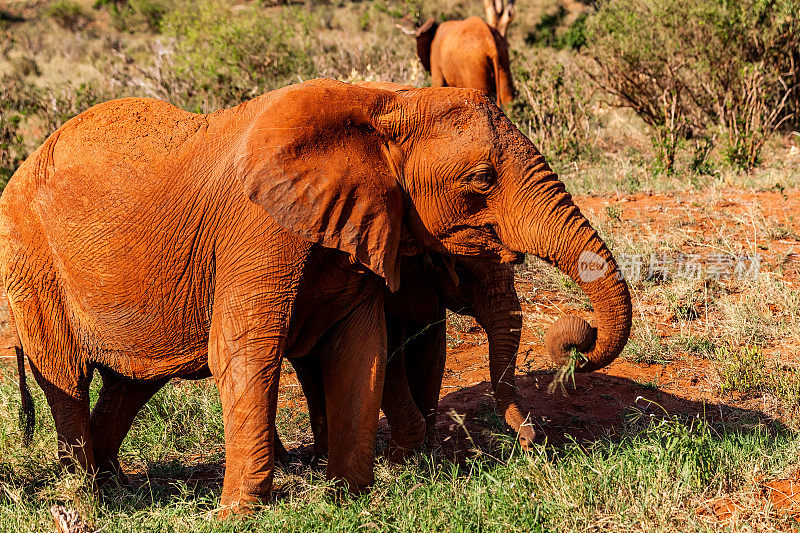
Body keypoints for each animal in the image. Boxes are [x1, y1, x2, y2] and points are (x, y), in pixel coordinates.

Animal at [0, 78, 632, 512]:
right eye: (481, 180)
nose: (534, 444)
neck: (380, 103)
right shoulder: (255, 228)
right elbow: (246, 351)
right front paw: (241, 513)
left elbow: (361, 350)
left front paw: (351, 495)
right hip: (29, 259)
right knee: (66, 376)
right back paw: (89, 498)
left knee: (130, 384)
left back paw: (114, 485)